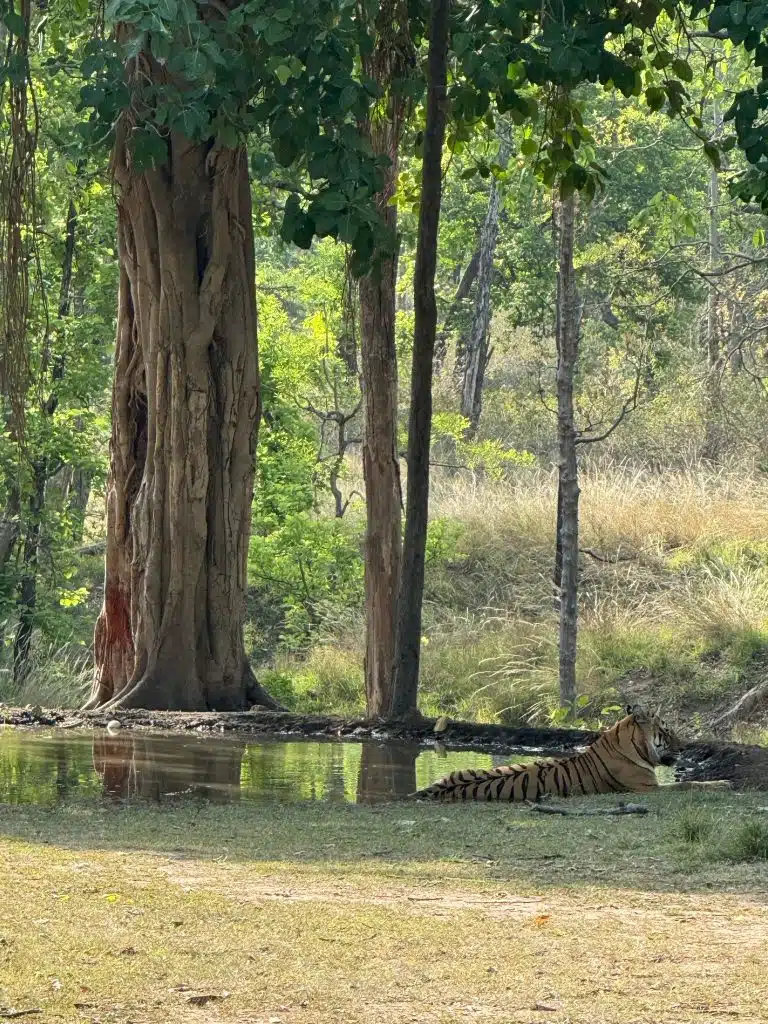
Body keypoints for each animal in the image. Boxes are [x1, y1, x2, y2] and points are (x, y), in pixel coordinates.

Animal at [412, 706, 731, 802]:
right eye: (666, 731)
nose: (685, 747)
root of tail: (433, 788)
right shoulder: (648, 789)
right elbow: (690, 784)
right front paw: (724, 783)